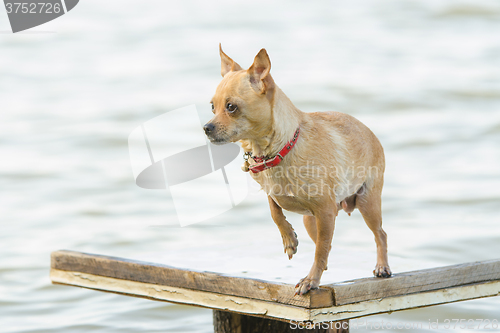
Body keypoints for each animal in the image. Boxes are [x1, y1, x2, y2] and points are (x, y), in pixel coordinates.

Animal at [203, 44, 390, 294]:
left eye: (231, 107)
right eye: (213, 107)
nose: (206, 127)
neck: (278, 152)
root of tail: (371, 134)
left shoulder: (325, 212)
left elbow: (320, 251)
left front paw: (311, 280)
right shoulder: (275, 193)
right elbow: (275, 212)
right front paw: (289, 239)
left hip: (367, 203)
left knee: (379, 234)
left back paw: (382, 266)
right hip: (311, 221)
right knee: (326, 244)